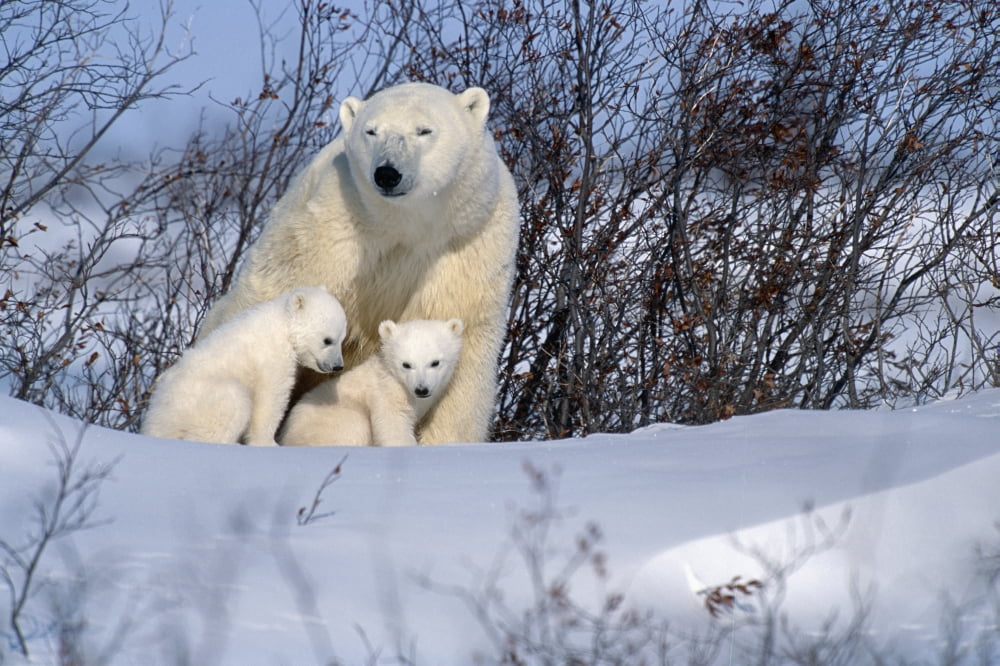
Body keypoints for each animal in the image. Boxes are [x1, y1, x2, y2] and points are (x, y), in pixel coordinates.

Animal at [142, 286, 347, 446]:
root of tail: (155, 417)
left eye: (342, 339)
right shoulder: (272, 356)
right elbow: (271, 397)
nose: (338, 366)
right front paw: (268, 443)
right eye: (327, 340)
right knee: (231, 403)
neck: (282, 323)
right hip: (199, 400)